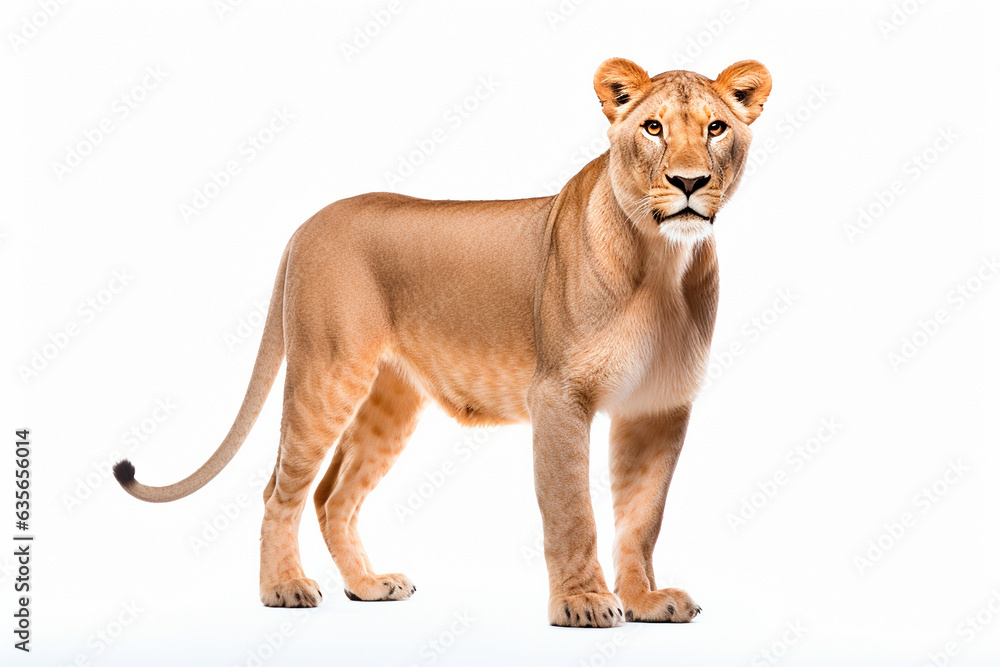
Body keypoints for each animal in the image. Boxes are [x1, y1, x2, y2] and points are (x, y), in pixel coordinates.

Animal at [114, 57, 771, 628]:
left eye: (715, 128)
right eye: (652, 128)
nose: (688, 182)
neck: (664, 263)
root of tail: (306, 224)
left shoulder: (658, 407)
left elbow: (641, 517)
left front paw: (645, 601)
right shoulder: (559, 396)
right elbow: (571, 511)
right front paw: (582, 604)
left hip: (389, 400)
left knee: (332, 495)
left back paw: (369, 586)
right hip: (326, 375)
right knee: (281, 488)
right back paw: (283, 587)